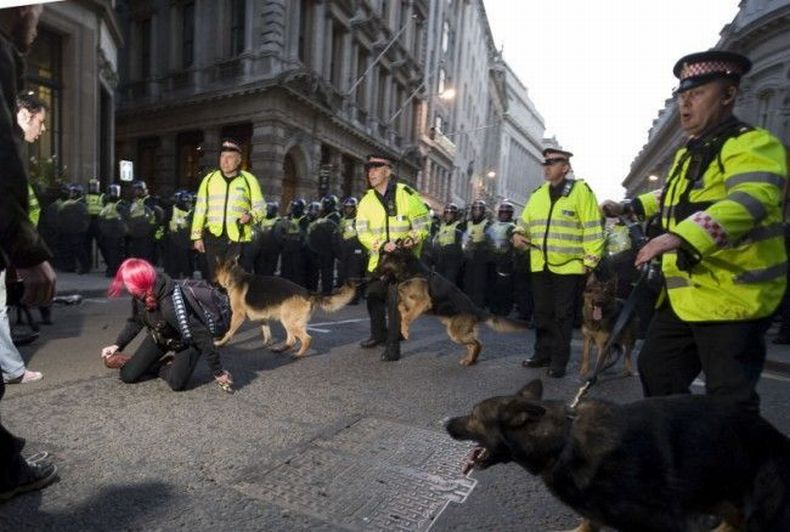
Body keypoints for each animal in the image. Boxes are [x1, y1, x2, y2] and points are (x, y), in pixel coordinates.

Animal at [213, 258, 356, 358]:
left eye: (216, 273)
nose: (212, 283)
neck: (236, 278)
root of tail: (308, 292)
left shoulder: (238, 315)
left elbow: (229, 331)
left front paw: (221, 343)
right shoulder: (263, 318)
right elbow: (267, 333)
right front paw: (267, 343)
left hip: (288, 321)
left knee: (306, 339)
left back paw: (298, 355)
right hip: (291, 322)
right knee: (292, 340)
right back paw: (281, 349)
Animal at [376, 246, 528, 366]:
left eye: (383, 262)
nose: (374, 274)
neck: (410, 271)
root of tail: (475, 309)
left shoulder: (423, 302)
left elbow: (407, 317)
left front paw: (405, 331)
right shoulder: (408, 301)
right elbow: (402, 308)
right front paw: (402, 323)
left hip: (456, 333)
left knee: (477, 343)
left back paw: (471, 360)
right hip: (456, 333)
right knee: (472, 345)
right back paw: (470, 360)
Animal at [448, 378, 788, 532]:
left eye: (474, 415)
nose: (445, 423)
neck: (563, 442)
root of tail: (777, 437)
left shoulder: (662, 523)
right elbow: (587, 524)